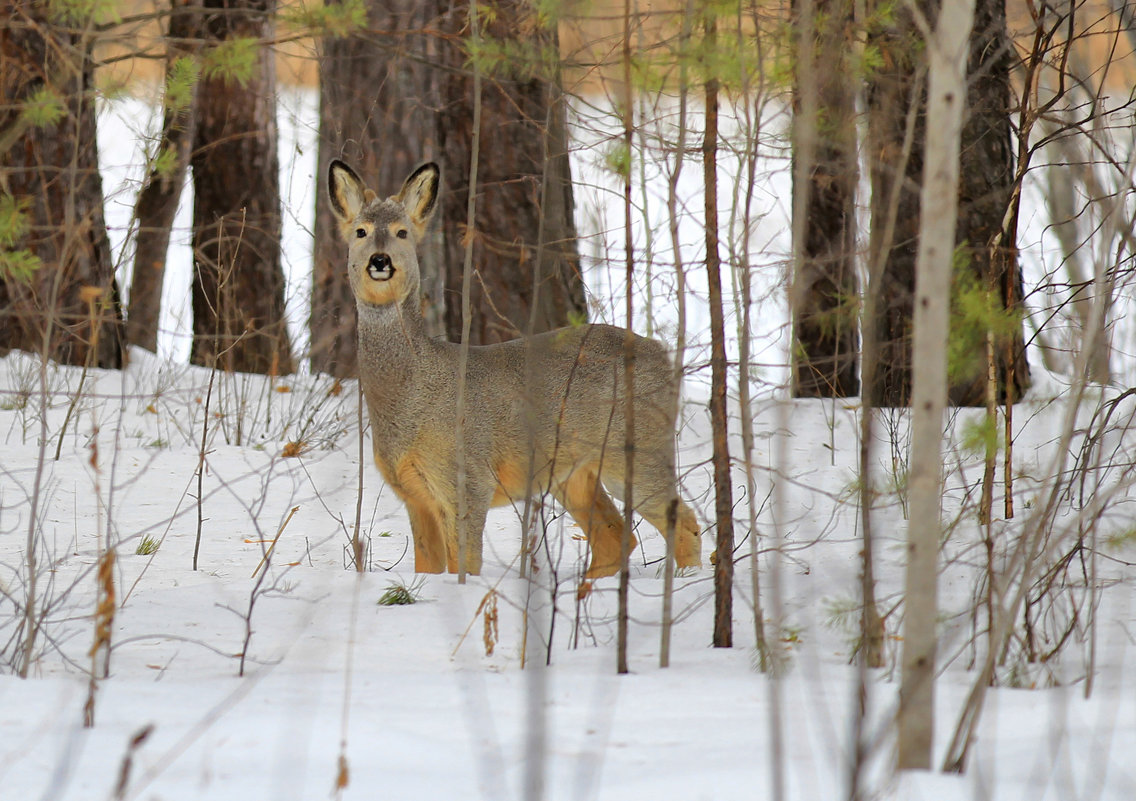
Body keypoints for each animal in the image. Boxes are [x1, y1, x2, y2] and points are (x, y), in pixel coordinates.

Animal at [329, 157, 699, 581]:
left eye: (402, 232)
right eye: (361, 231)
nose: (380, 260)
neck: (412, 393)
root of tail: (664, 356)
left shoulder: (469, 479)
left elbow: (465, 565)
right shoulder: (413, 495)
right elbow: (428, 568)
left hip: (639, 448)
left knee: (683, 521)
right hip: (575, 473)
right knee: (615, 535)